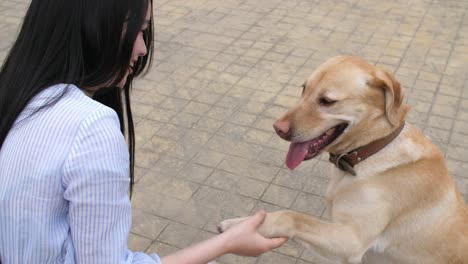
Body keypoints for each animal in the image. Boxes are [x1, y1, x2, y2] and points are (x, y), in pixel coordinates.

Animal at [218, 55, 468, 264]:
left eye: (327, 101)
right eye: (304, 89)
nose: (278, 129)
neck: (370, 151)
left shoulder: (353, 241)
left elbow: (292, 217)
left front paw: (238, 226)